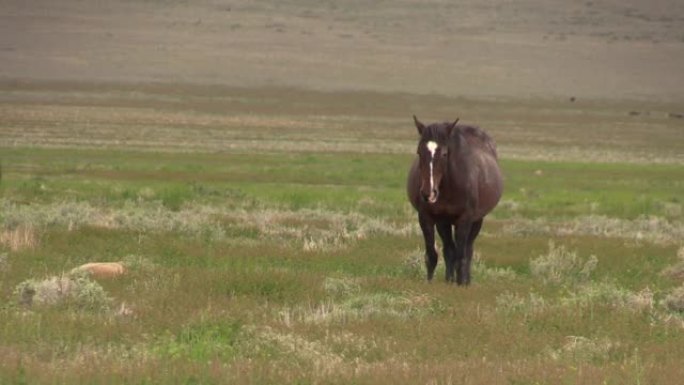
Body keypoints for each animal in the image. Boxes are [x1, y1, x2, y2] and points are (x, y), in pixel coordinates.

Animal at [406, 115, 502, 284]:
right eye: (419, 151)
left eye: (444, 153)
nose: (428, 193)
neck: (450, 187)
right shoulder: (427, 218)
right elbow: (432, 256)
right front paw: (431, 283)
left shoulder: (464, 219)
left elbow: (461, 256)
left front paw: (461, 284)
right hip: (444, 222)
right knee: (449, 250)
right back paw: (449, 280)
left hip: (476, 221)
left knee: (467, 251)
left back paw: (465, 281)